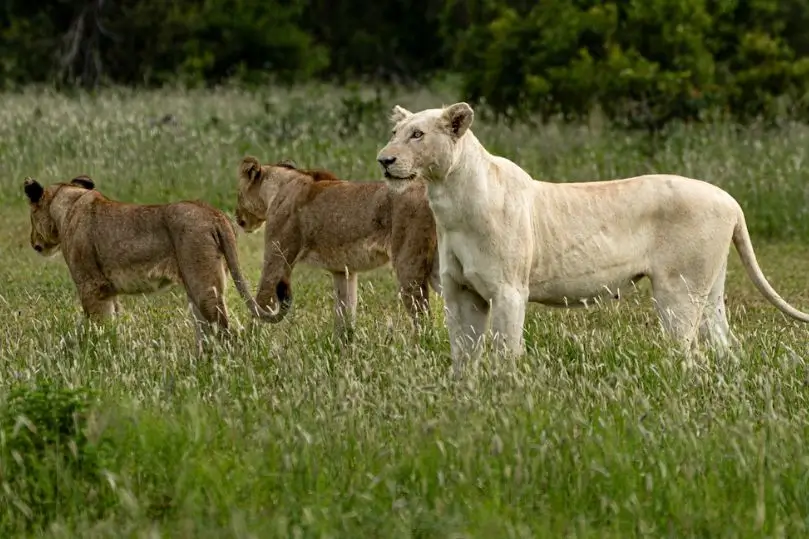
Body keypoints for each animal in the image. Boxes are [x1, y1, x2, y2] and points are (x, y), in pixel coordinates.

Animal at [23, 175, 289, 352]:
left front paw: (98, 356)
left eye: (31, 215)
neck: (67, 205)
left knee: (226, 331)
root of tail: (215, 214)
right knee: (206, 331)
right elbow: (112, 324)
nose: (33, 242)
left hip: (203, 288)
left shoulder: (91, 287)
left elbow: (97, 328)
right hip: (199, 287)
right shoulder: (107, 291)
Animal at [234, 156, 441, 341]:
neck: (281, 186)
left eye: (238, 194)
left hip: (408, 265)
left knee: (423, 320)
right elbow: (345, 316)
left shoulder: (276, 258)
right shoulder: (344, 270)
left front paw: (248, 346)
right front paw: (343, 349)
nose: (236, 216)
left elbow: (260, 302)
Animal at [375, 102, 809, 374]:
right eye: (394, 132)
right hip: (710, 287)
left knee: (688, 351)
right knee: (723, 346)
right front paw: (465, 397)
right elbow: (462, 354)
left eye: (417, 134)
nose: (384, 159)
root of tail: (732, 201)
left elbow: (505, 351)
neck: (448, 200)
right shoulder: (461, 291)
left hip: (678, 291)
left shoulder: (509, 290)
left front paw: (506, 396)